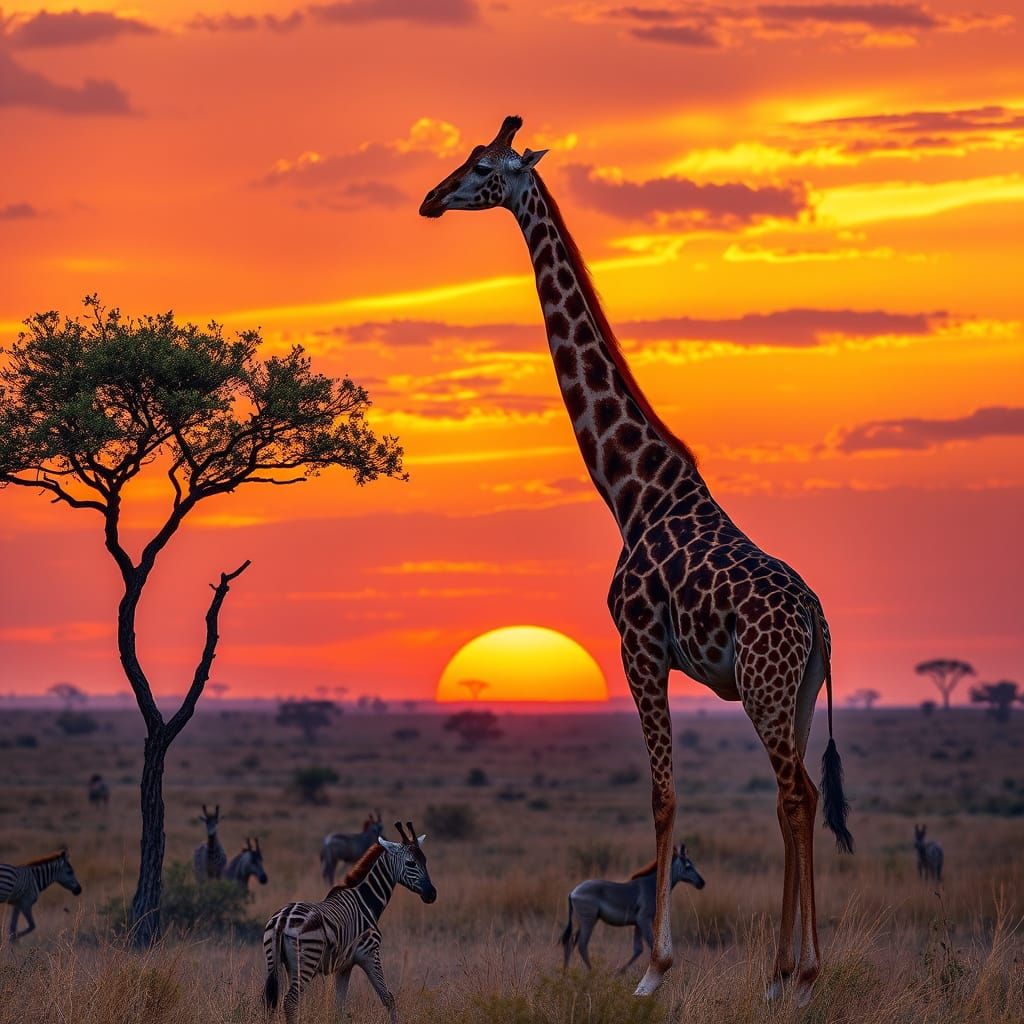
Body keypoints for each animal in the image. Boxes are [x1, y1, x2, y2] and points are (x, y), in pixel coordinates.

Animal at [419, 116, 853, 1003]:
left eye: (481, 167)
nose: (430, 199)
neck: (632, 488)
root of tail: (817, 619)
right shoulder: (654, 655)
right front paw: (664, 963)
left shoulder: (638, 646)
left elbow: (661, 795)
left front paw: (654, 969)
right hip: (795, 691)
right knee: (800, 792)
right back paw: (791, 972)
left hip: (763, 686)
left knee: (793, 793)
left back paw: (794, 973)